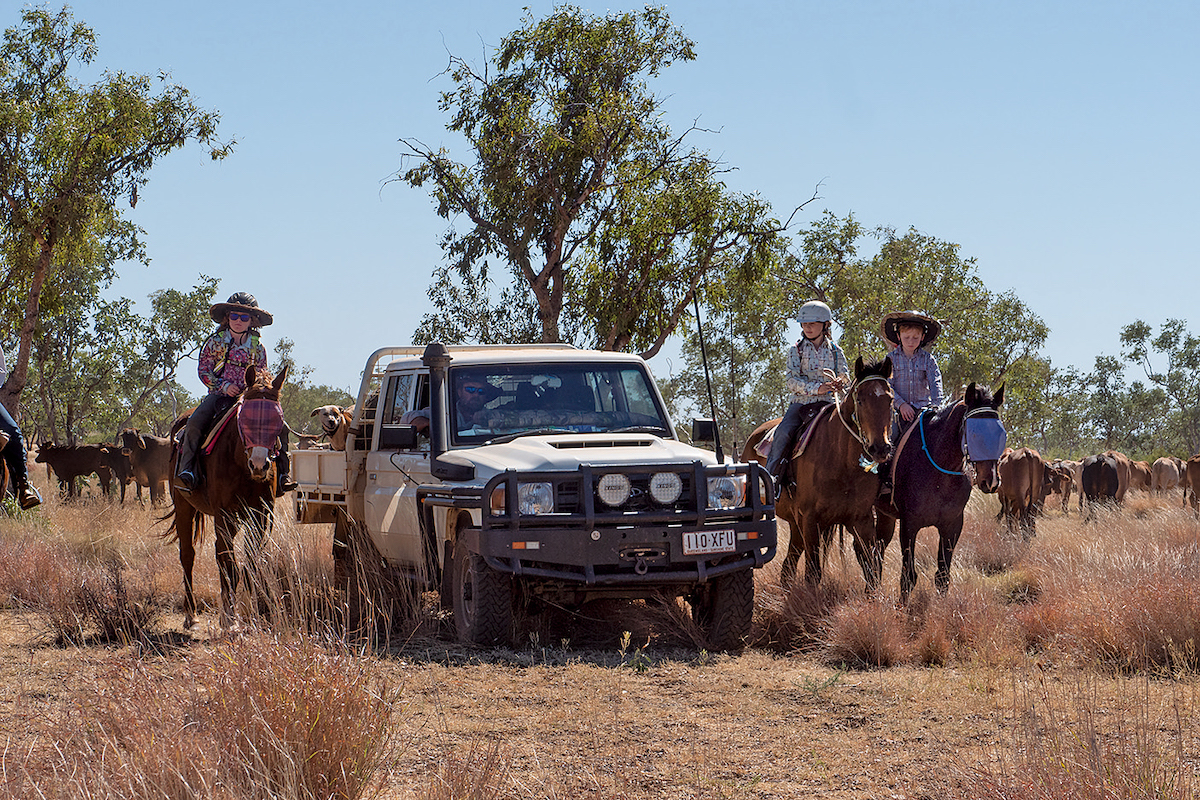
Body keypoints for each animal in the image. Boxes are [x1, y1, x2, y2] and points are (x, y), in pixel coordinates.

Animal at [166, 364, 288, 633]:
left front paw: (252, 614)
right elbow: (229, 562)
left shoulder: (262, 516)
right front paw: (230, 618)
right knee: (188, 555)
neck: (242, 464)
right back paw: (191, 615)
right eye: (245, 419)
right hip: (183, 506)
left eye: (278, 420)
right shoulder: (225, 516)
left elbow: (250, 562)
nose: (260, 465)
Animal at [734, 357, 897, 587]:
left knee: (789, 565)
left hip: (796, 523)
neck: (842, 463)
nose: (880, 449)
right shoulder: (810, 519)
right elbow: (813, 573)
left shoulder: (861, 520)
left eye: (890, 400)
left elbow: (871, 570)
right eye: (861, 400)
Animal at [873, 381, 1003, 599]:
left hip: (886, 516)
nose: (991, 480)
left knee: (879, 547)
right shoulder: (909, 525)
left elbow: (943, 576)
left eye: (1001, 433)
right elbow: (908, 577)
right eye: (973, 432)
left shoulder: (952, 525)